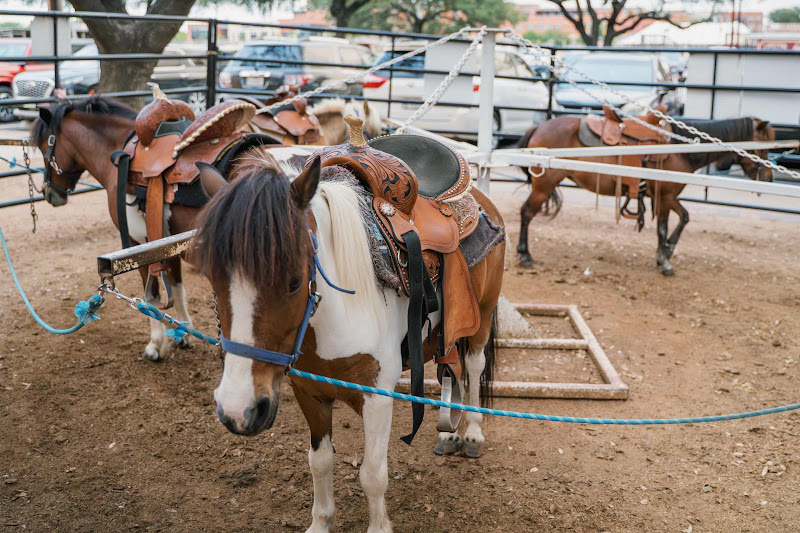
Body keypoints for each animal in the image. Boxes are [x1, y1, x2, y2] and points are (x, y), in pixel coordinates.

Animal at [192, 147, 505, 532]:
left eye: (295, 281)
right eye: (211, 276)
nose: (238, 410)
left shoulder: (377, 398)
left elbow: (372, 475)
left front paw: (378, 526)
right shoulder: (308, 392)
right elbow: (320, 462)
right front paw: (320, 523)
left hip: (482, 319)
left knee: (474, 367)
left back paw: (472, 433)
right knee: (452, 368)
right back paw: (450, 434)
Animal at [515, 115, 774, 276]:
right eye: (763, 147)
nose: (769, 177)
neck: (678, 149)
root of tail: (538, 127)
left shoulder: (667, 196)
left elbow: (683, 218)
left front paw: (667, 251)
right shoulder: (665, 195)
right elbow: (664, 225)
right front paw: (665, 260)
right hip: (544, 185)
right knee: (526, 212)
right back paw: (525, 255)